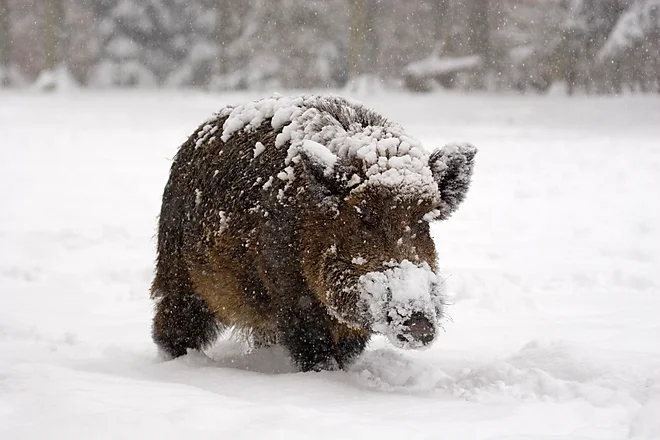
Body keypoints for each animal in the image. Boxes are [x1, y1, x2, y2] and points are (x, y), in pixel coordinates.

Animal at [151, 95, 476, 372]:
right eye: (365, 218)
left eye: (424, 220)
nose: (419, 323)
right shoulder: (289, 293)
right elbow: (314, 348)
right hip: (179, 274)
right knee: (173, 325)